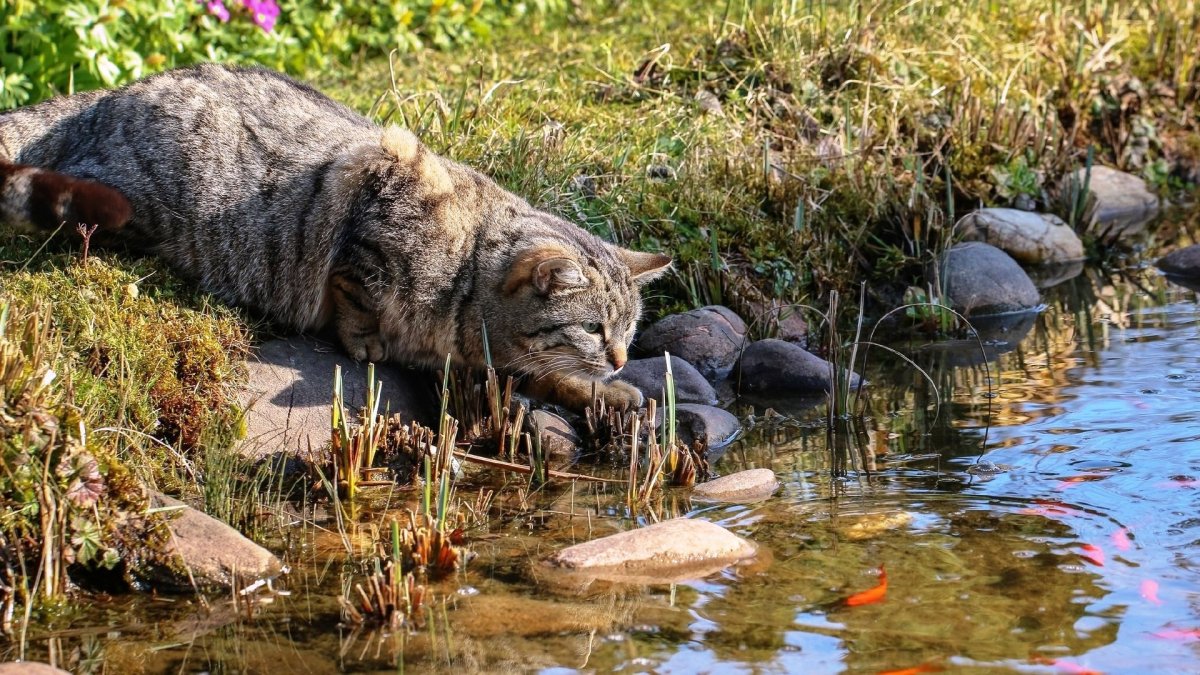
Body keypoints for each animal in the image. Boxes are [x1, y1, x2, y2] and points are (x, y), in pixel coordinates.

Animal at [0, 64, 672, 410]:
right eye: (594, 328)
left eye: (628, 332)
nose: (619, 358)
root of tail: (100, 98)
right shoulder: (371, 203)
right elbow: (356, 293)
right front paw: (369, 340)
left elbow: (540, 374)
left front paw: (607, 392)